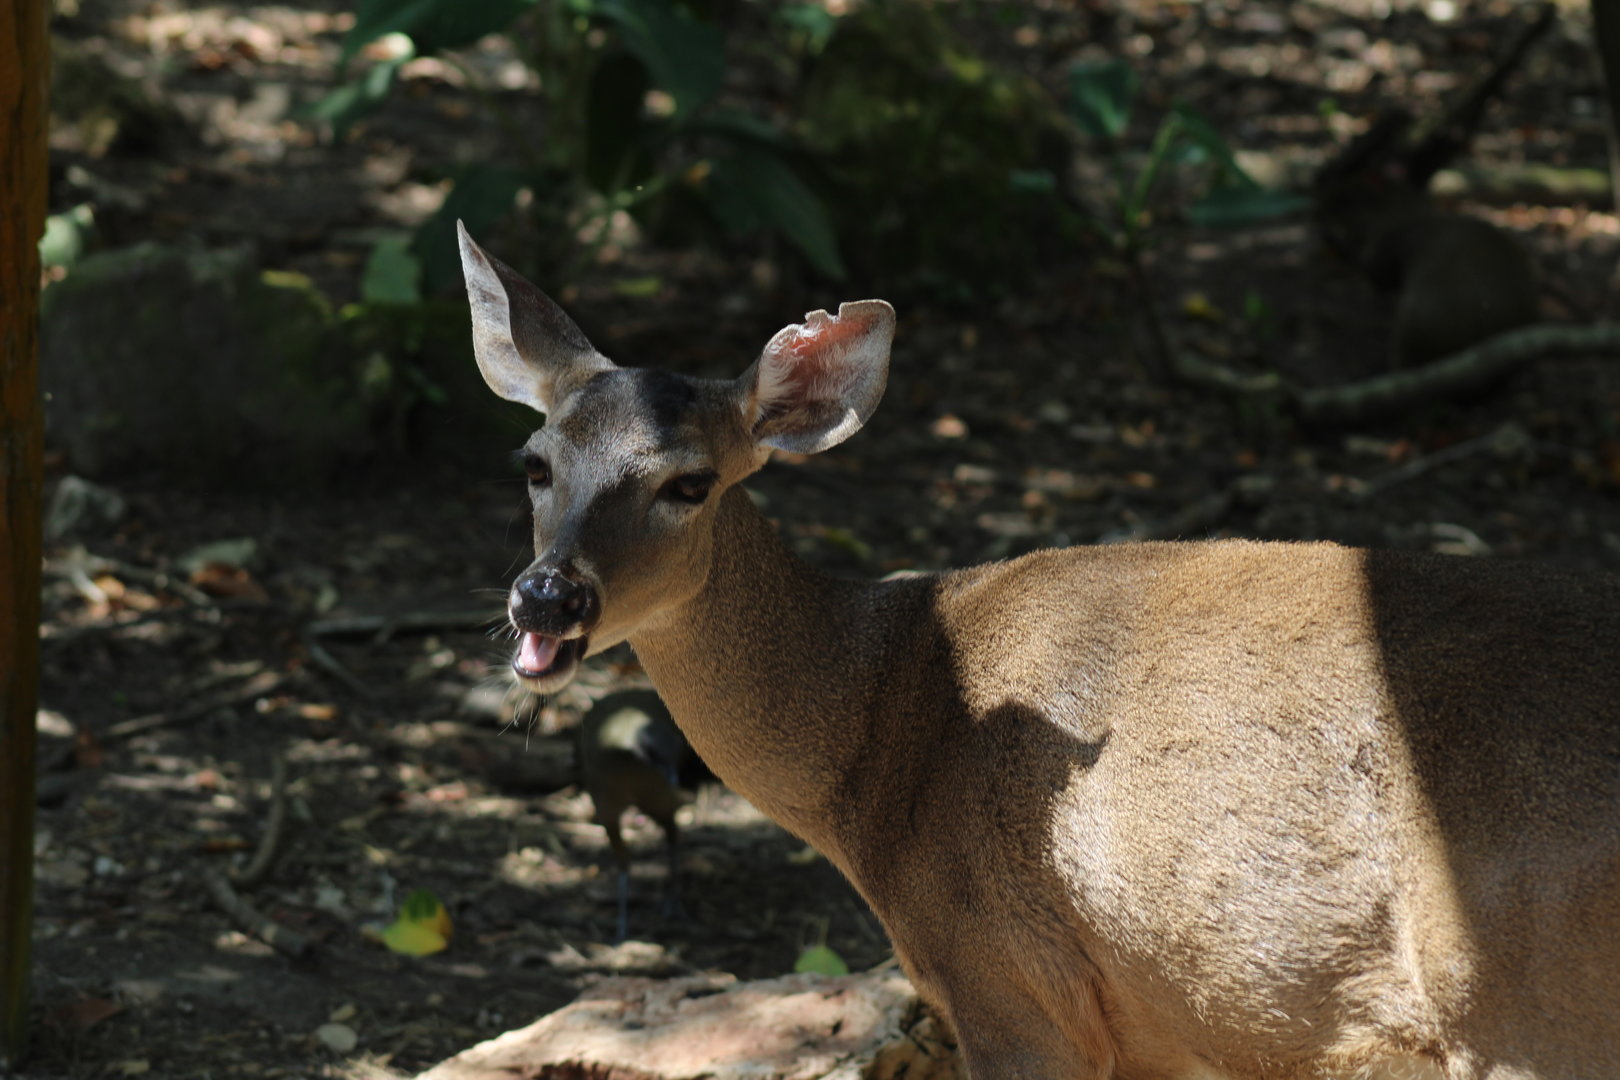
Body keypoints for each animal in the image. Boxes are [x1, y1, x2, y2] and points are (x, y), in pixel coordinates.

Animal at [457, 221, 1620, 1080]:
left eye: (690, 483)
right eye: (532, 461)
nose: (547, 597)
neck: (880, 747)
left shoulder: (1008, 980)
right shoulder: (1156, 1030)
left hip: (1521, 997)